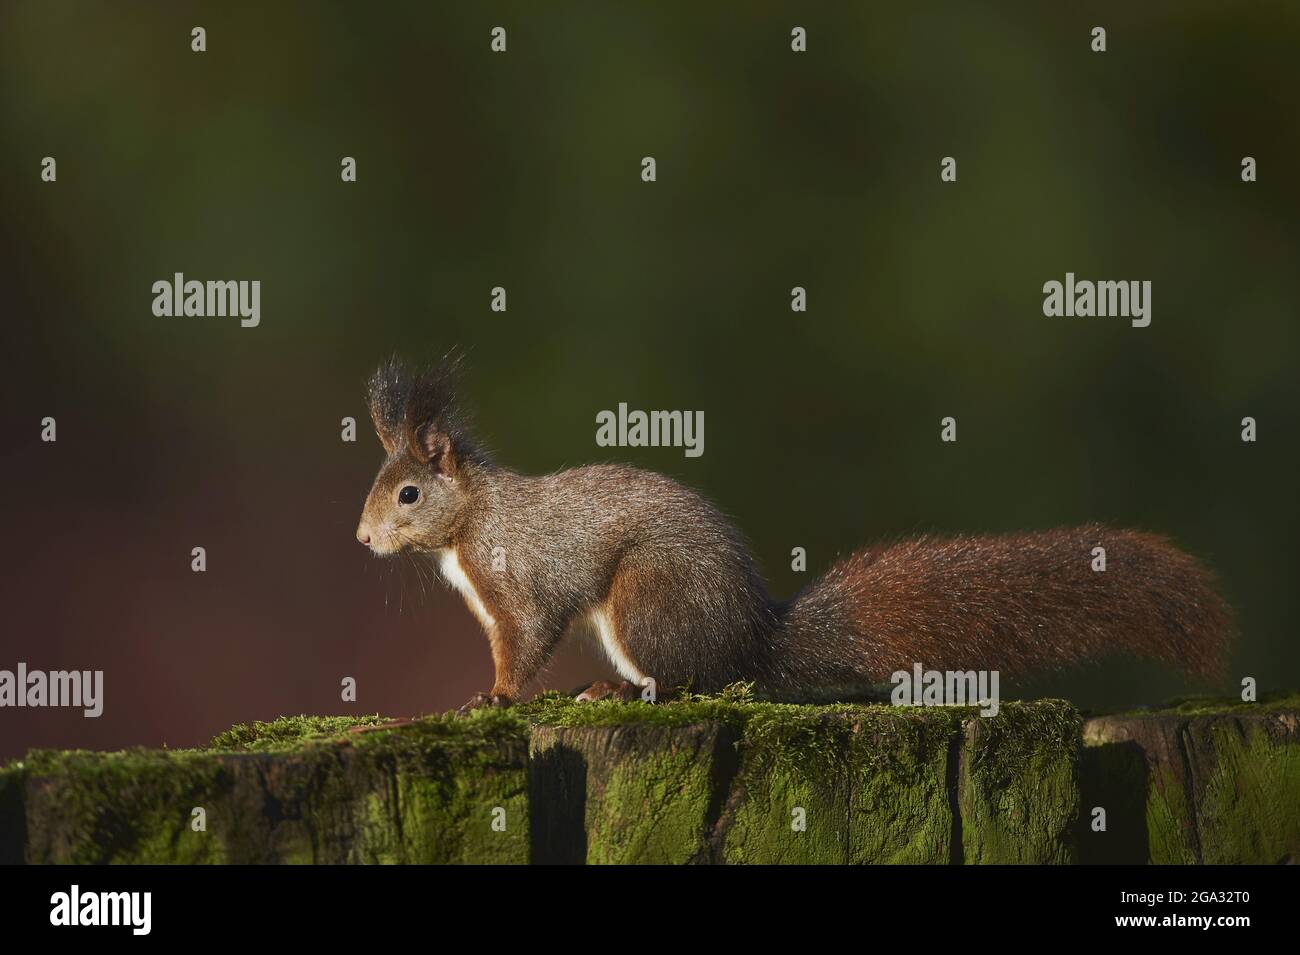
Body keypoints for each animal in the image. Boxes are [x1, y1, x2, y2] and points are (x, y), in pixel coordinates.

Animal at [358, 356, 1237, 712]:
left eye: (408, 492)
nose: (362, 541)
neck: (471, 518)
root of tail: (754, 635)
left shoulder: (518, 578)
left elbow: (529, 636)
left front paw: (498, 696)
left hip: (648, 597)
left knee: (694, 679)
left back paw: (623, 689)